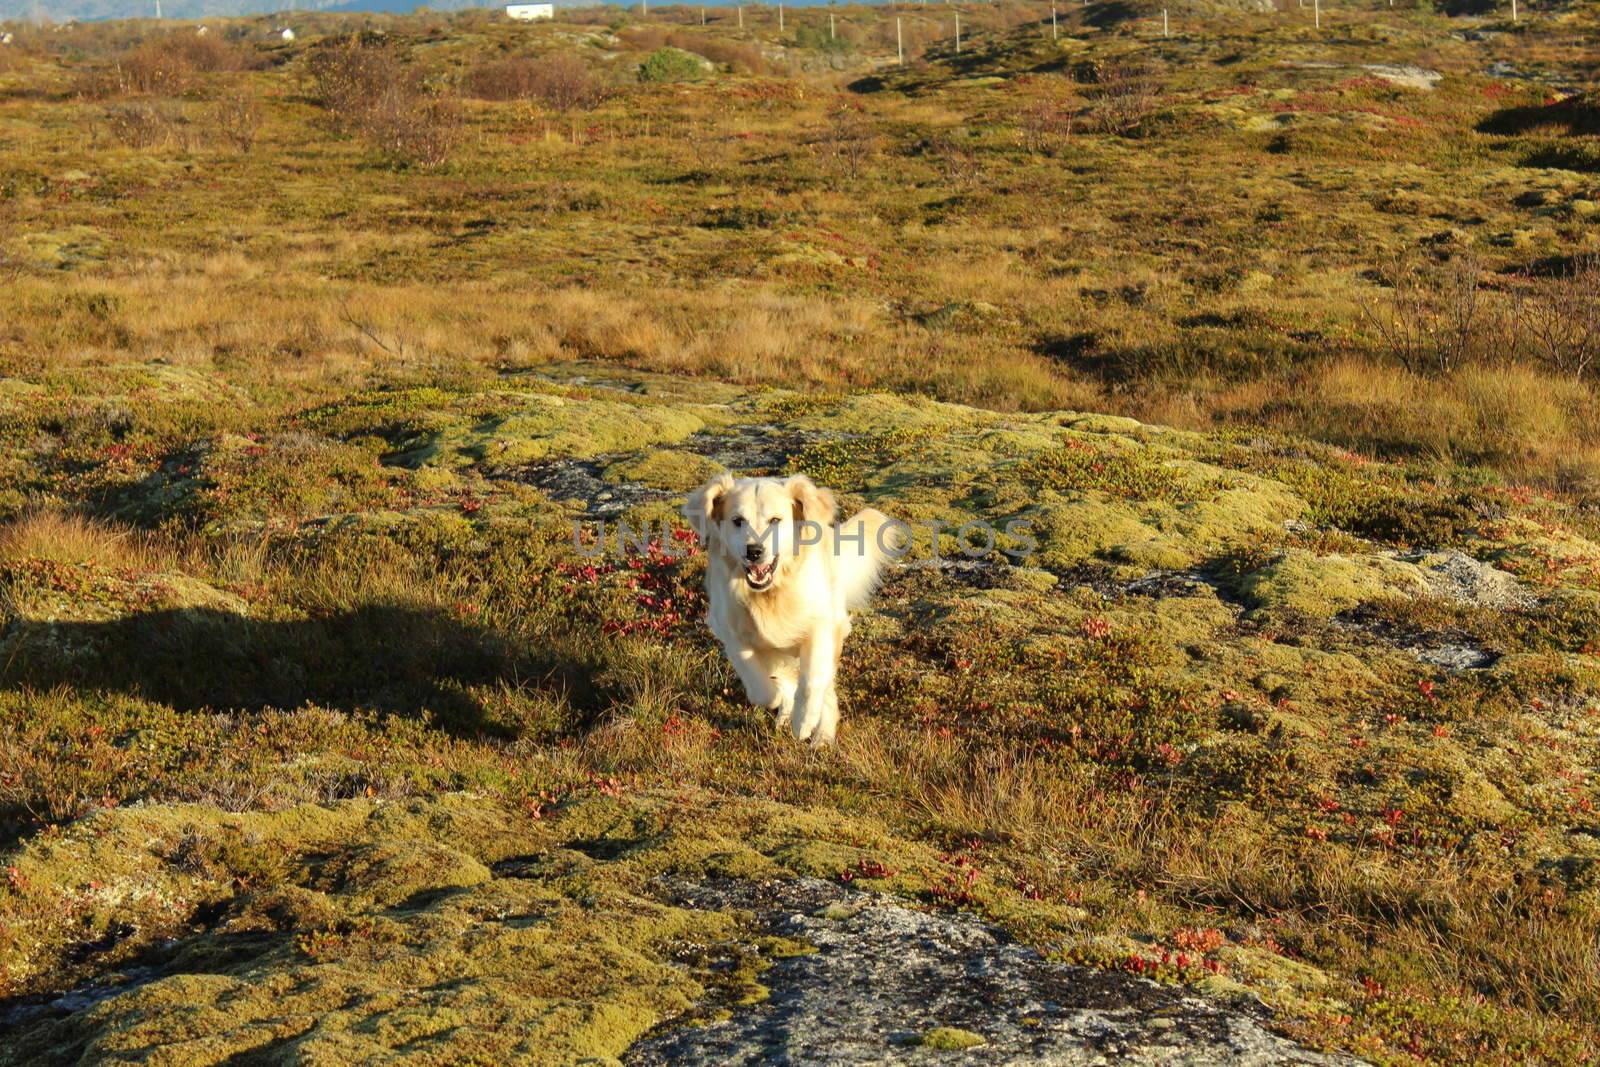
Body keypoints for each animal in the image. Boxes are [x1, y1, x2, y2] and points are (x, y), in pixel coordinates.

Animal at [681, 470, 896, 748]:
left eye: (775, 520)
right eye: (737, 520)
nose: (754, 551)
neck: (770, 594)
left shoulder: (821, 627)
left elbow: (812, 681)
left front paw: (803, 722)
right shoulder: (732, 633)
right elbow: (760, 688)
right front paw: (778, 701)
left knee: (824, 689)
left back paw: (822, 736)